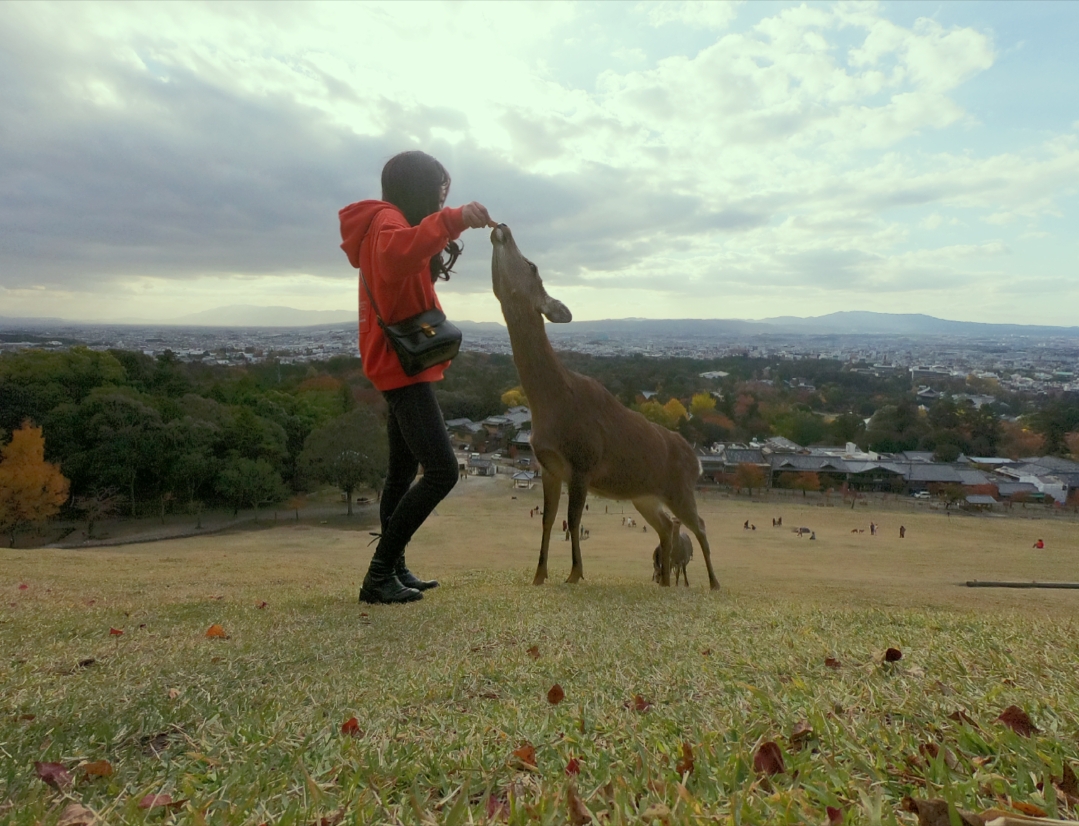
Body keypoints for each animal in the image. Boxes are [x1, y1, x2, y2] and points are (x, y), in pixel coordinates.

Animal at [494, 224, 720, 586]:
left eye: (532, 265)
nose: (502, 227)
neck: (550, 405)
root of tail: (697, 461)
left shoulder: (583, 460)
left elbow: (572, 519)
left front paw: (574, 574)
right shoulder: (548, 465)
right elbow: (547, 519)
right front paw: (540, 575)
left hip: (681, 488)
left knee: (698, 525)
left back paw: (713, 583)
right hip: (644, 495)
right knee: (666, 526)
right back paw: (665, 583)